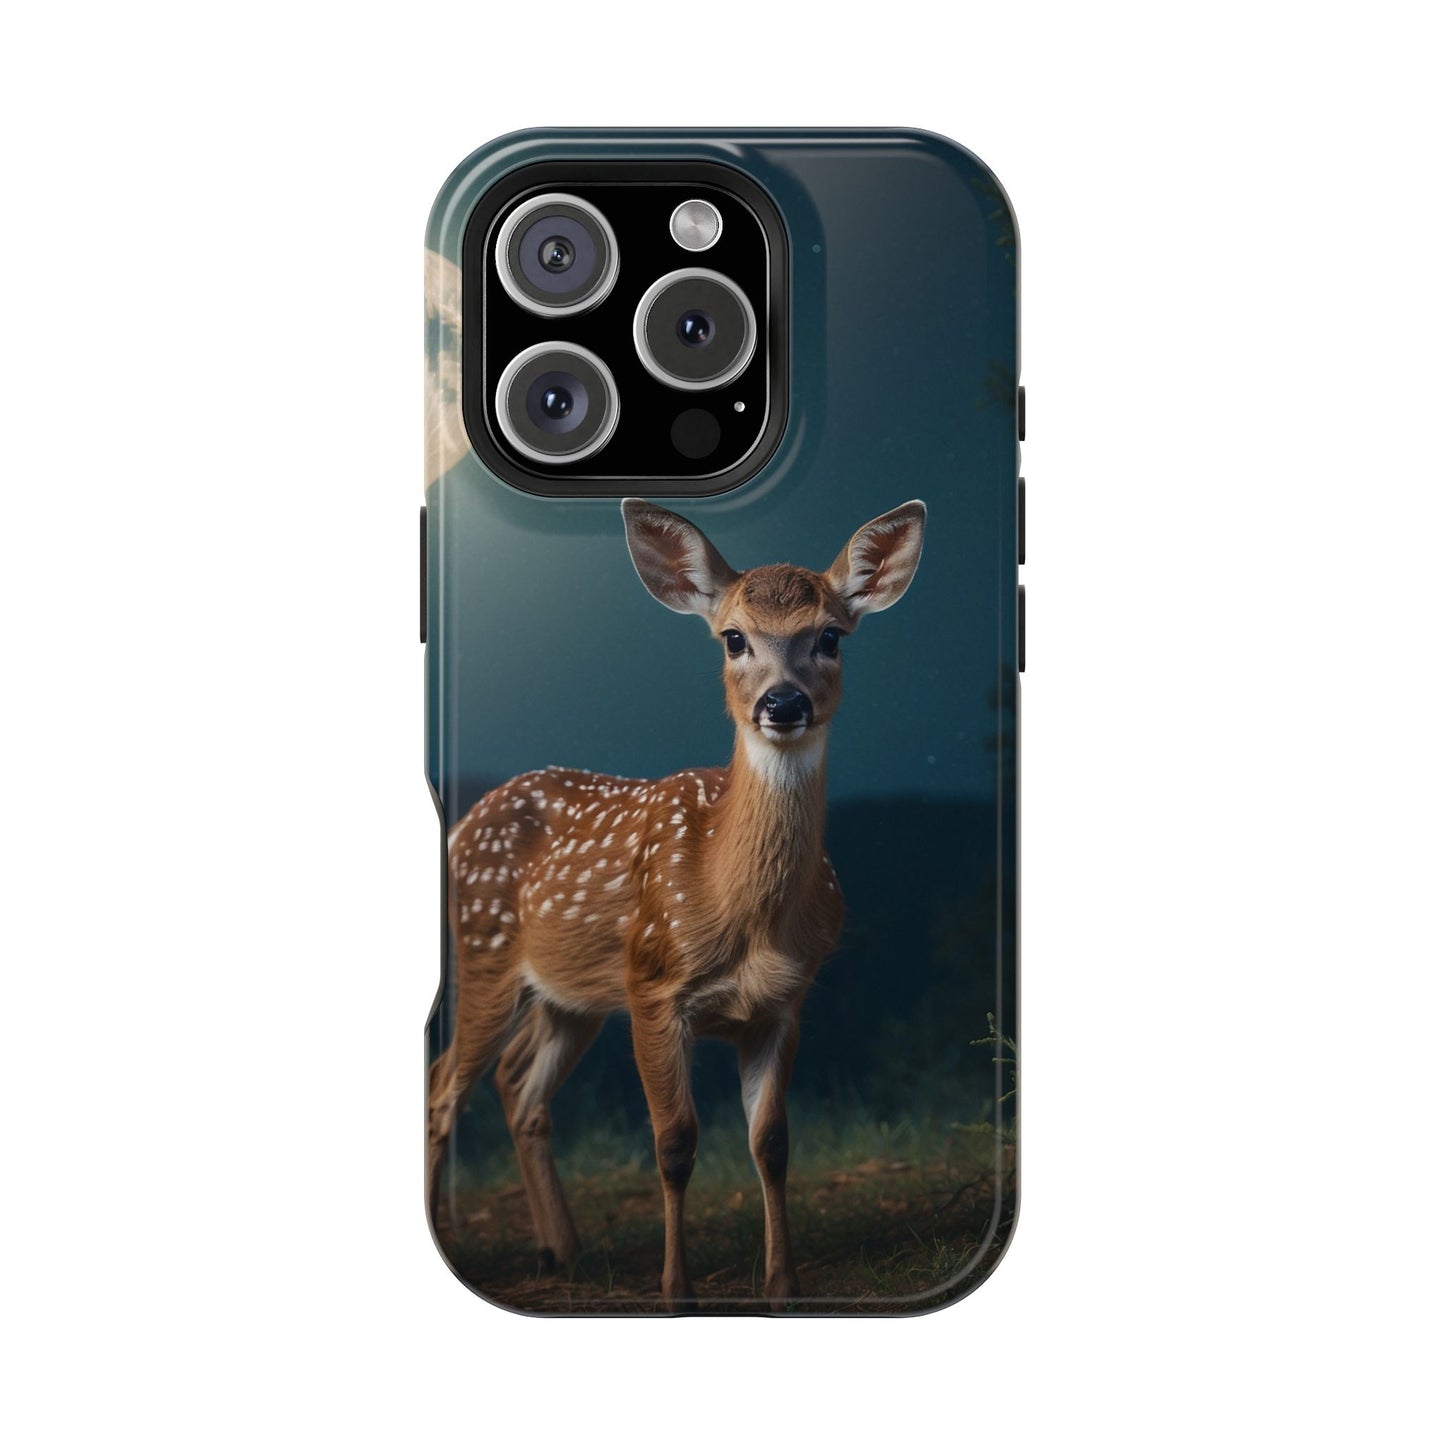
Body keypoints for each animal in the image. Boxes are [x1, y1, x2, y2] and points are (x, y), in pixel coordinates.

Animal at [427, 496, 926, 1309]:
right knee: (445, 1085)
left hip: (573, 995)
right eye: (733, 637)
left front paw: (782, 1286)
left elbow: (771, 1142)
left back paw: (560, 1251)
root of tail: (464, 824)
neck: (741, 911)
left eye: (829, 636)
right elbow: (673, 1142)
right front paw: (676, 1290)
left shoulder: (783, 1002)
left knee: (517, 1085)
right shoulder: (655, 988)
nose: (781, 702)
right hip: (486, 953)